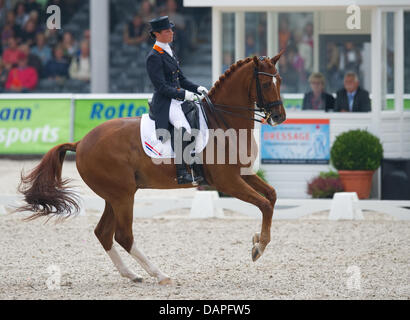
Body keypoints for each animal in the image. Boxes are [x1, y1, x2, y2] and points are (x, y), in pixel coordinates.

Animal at [16, 53, 286, 284]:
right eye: (265, 83)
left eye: (280, 81)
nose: (279, 117)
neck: (222, 121)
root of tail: (80, 142)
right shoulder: (226, 181)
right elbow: (263, 204)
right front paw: (259, 247)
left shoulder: (242, 173)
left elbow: (272, 196)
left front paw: (256, 240)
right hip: (123, 195)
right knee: (123, 235)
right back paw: (160, 274)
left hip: (115, 196)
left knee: (103, 233)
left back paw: (132, 274)